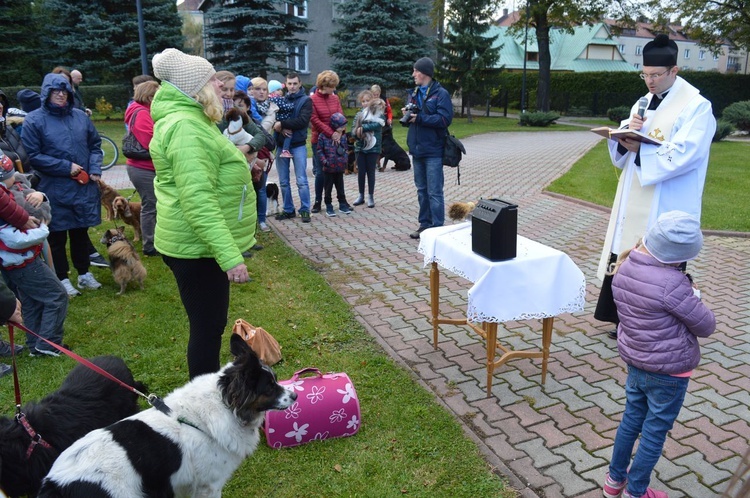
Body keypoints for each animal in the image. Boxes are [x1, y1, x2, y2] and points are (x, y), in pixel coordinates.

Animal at [38, 334, 296, 498]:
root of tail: (55, 484)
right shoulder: (209, 485)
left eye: (275, 380)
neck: (223, 406)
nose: (294, 395)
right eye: (270, 387)